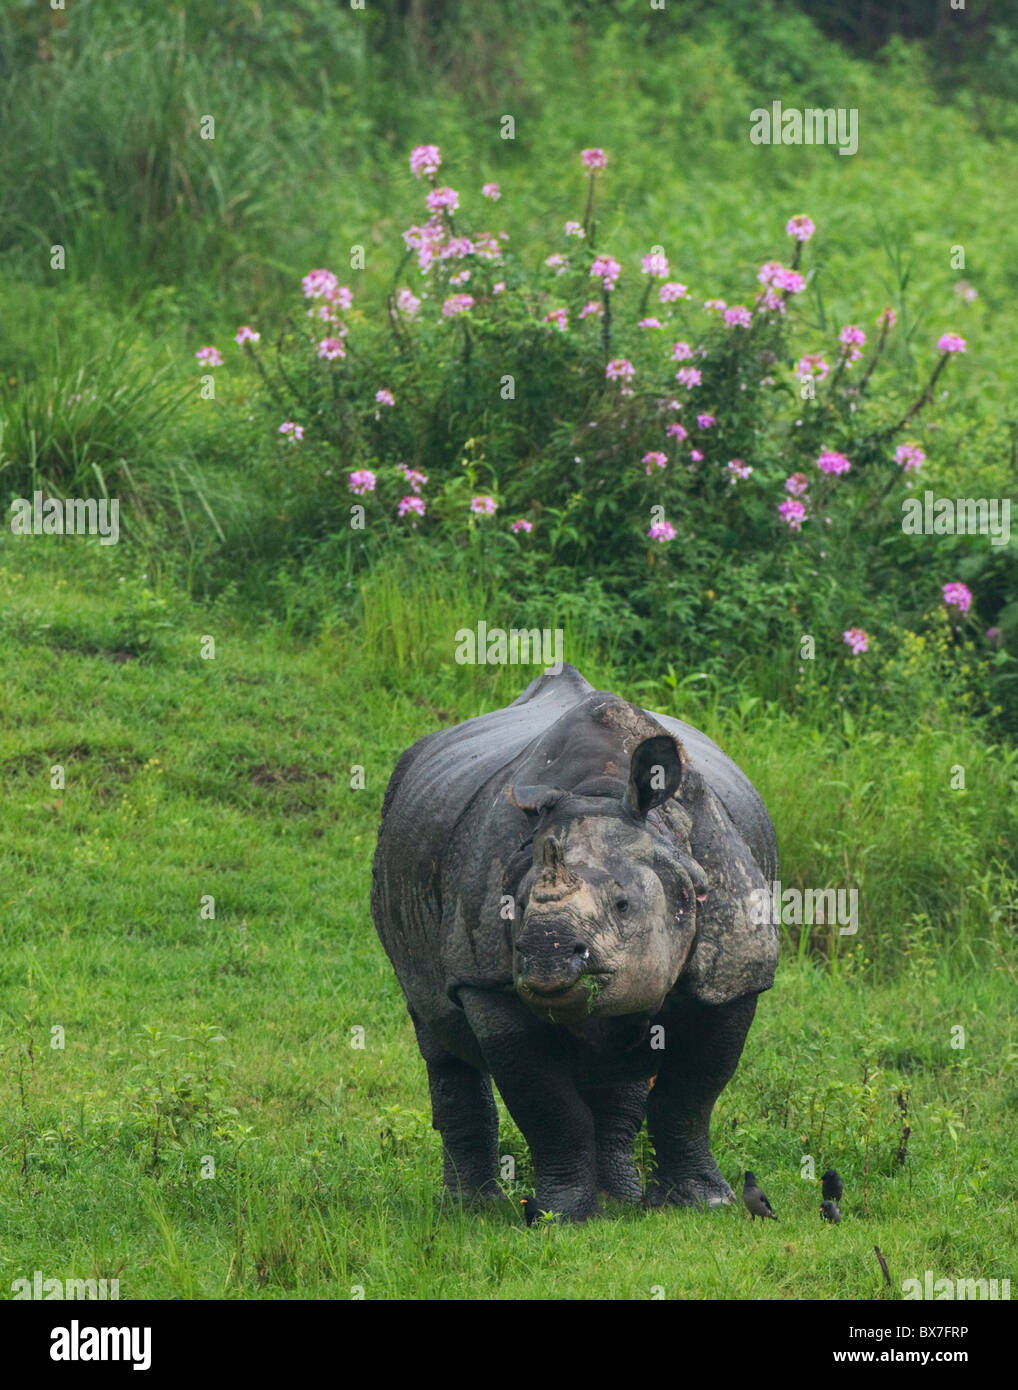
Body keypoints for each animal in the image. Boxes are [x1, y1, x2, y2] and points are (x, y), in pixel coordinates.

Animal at [371, 665, 778, 1220]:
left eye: (624, 905)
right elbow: (549, 1108)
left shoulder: (734, 971)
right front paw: (559, 1218)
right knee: (437, 1033)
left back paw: (620, 1200)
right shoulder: (486, 979)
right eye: (515, 909)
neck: (601, 791)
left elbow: (688, 1096)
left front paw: (703, 1204)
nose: (547, 955)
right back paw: (472, 1210)